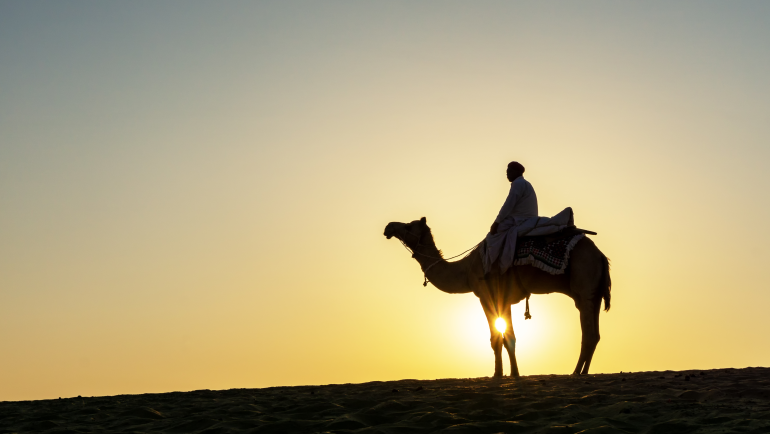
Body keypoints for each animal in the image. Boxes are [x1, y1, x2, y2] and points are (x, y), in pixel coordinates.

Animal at [384, 217, 611, 377]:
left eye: (409, 226)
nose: (389, 227)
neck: (466, 270)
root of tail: (601, 255)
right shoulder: (504, 299)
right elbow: (509, 336)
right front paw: (513, 373)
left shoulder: (485, 295)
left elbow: (496, 338)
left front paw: (498, 374)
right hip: (593, 294)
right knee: (595, 333)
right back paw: (583, 372)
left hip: (584, 282)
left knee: (588, 333)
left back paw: (576, 372)